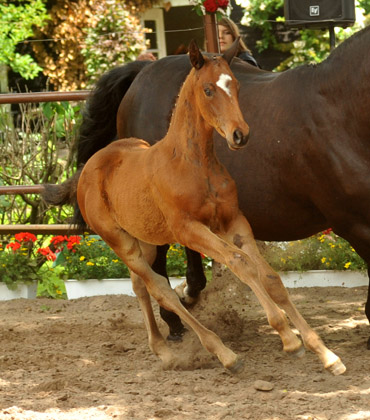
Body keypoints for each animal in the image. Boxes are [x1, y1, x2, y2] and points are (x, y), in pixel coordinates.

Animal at [43, 40, 344, 374]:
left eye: (236, 84)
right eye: (208, 89)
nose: (240, 134)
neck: (193, 163)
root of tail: (90, 166)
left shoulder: (233, 222)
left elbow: (270, 278)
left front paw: (325, 353)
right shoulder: (190, 230)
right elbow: (239, 262)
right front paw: (289, 339)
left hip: (146, 240)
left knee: (139, 285)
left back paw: (162, 350)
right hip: (120, 241)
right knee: (160, 288)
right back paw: (223, 353)